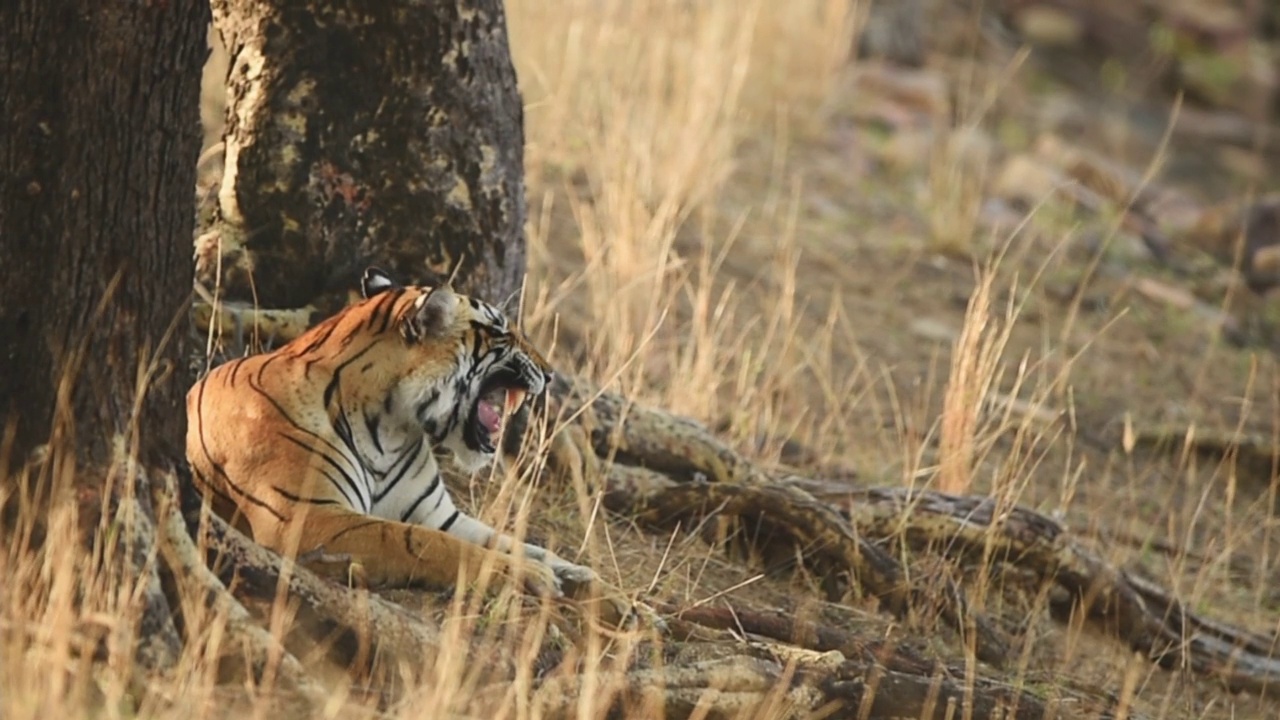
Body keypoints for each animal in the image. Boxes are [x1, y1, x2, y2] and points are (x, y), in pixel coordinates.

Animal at [185, 266, 599, 597]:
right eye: (500, 330)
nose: (550, 373)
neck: (391, 428)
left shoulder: (439, 515)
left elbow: (510, 541)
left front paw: (579, 574)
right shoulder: (309, 517)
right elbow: (422, 542)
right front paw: (529, 575)